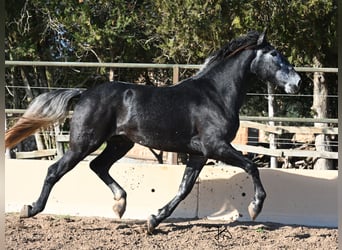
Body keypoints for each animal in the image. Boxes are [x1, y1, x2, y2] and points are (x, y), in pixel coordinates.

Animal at [4, 29, 300, 234]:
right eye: (275, 55)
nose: (297, 82)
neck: (215, 95)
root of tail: (85, 93)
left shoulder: (200, 154)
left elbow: (184, 189)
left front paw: (153, 220)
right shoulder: (216, 146)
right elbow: (252, 166)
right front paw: (255, 207)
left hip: (119, 143)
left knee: (98, 166)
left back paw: (120, 204)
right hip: (84, 143)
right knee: (55, 170)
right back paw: (30, 209)